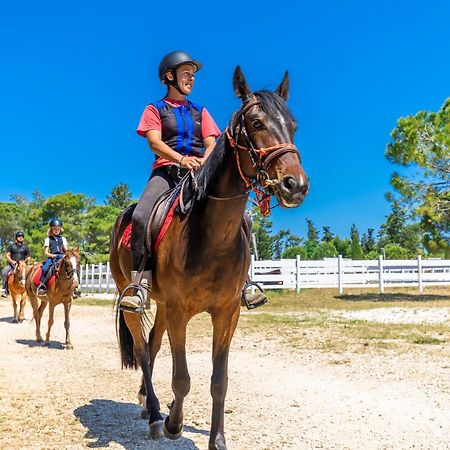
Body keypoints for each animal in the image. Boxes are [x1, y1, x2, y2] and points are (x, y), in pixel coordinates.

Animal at [109, 67, 310, 450]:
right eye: (257, 123)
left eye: (293, 125)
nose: (296, 185)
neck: (211, 238)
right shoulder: (179, 311)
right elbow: (183, 378)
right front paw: (173, 423)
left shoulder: (227, 313)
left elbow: (220, 380)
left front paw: (217, 440)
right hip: (133, 298)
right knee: (142, 350)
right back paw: (155, 414)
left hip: (163, 305)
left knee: (153, 346)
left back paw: (145, 402)